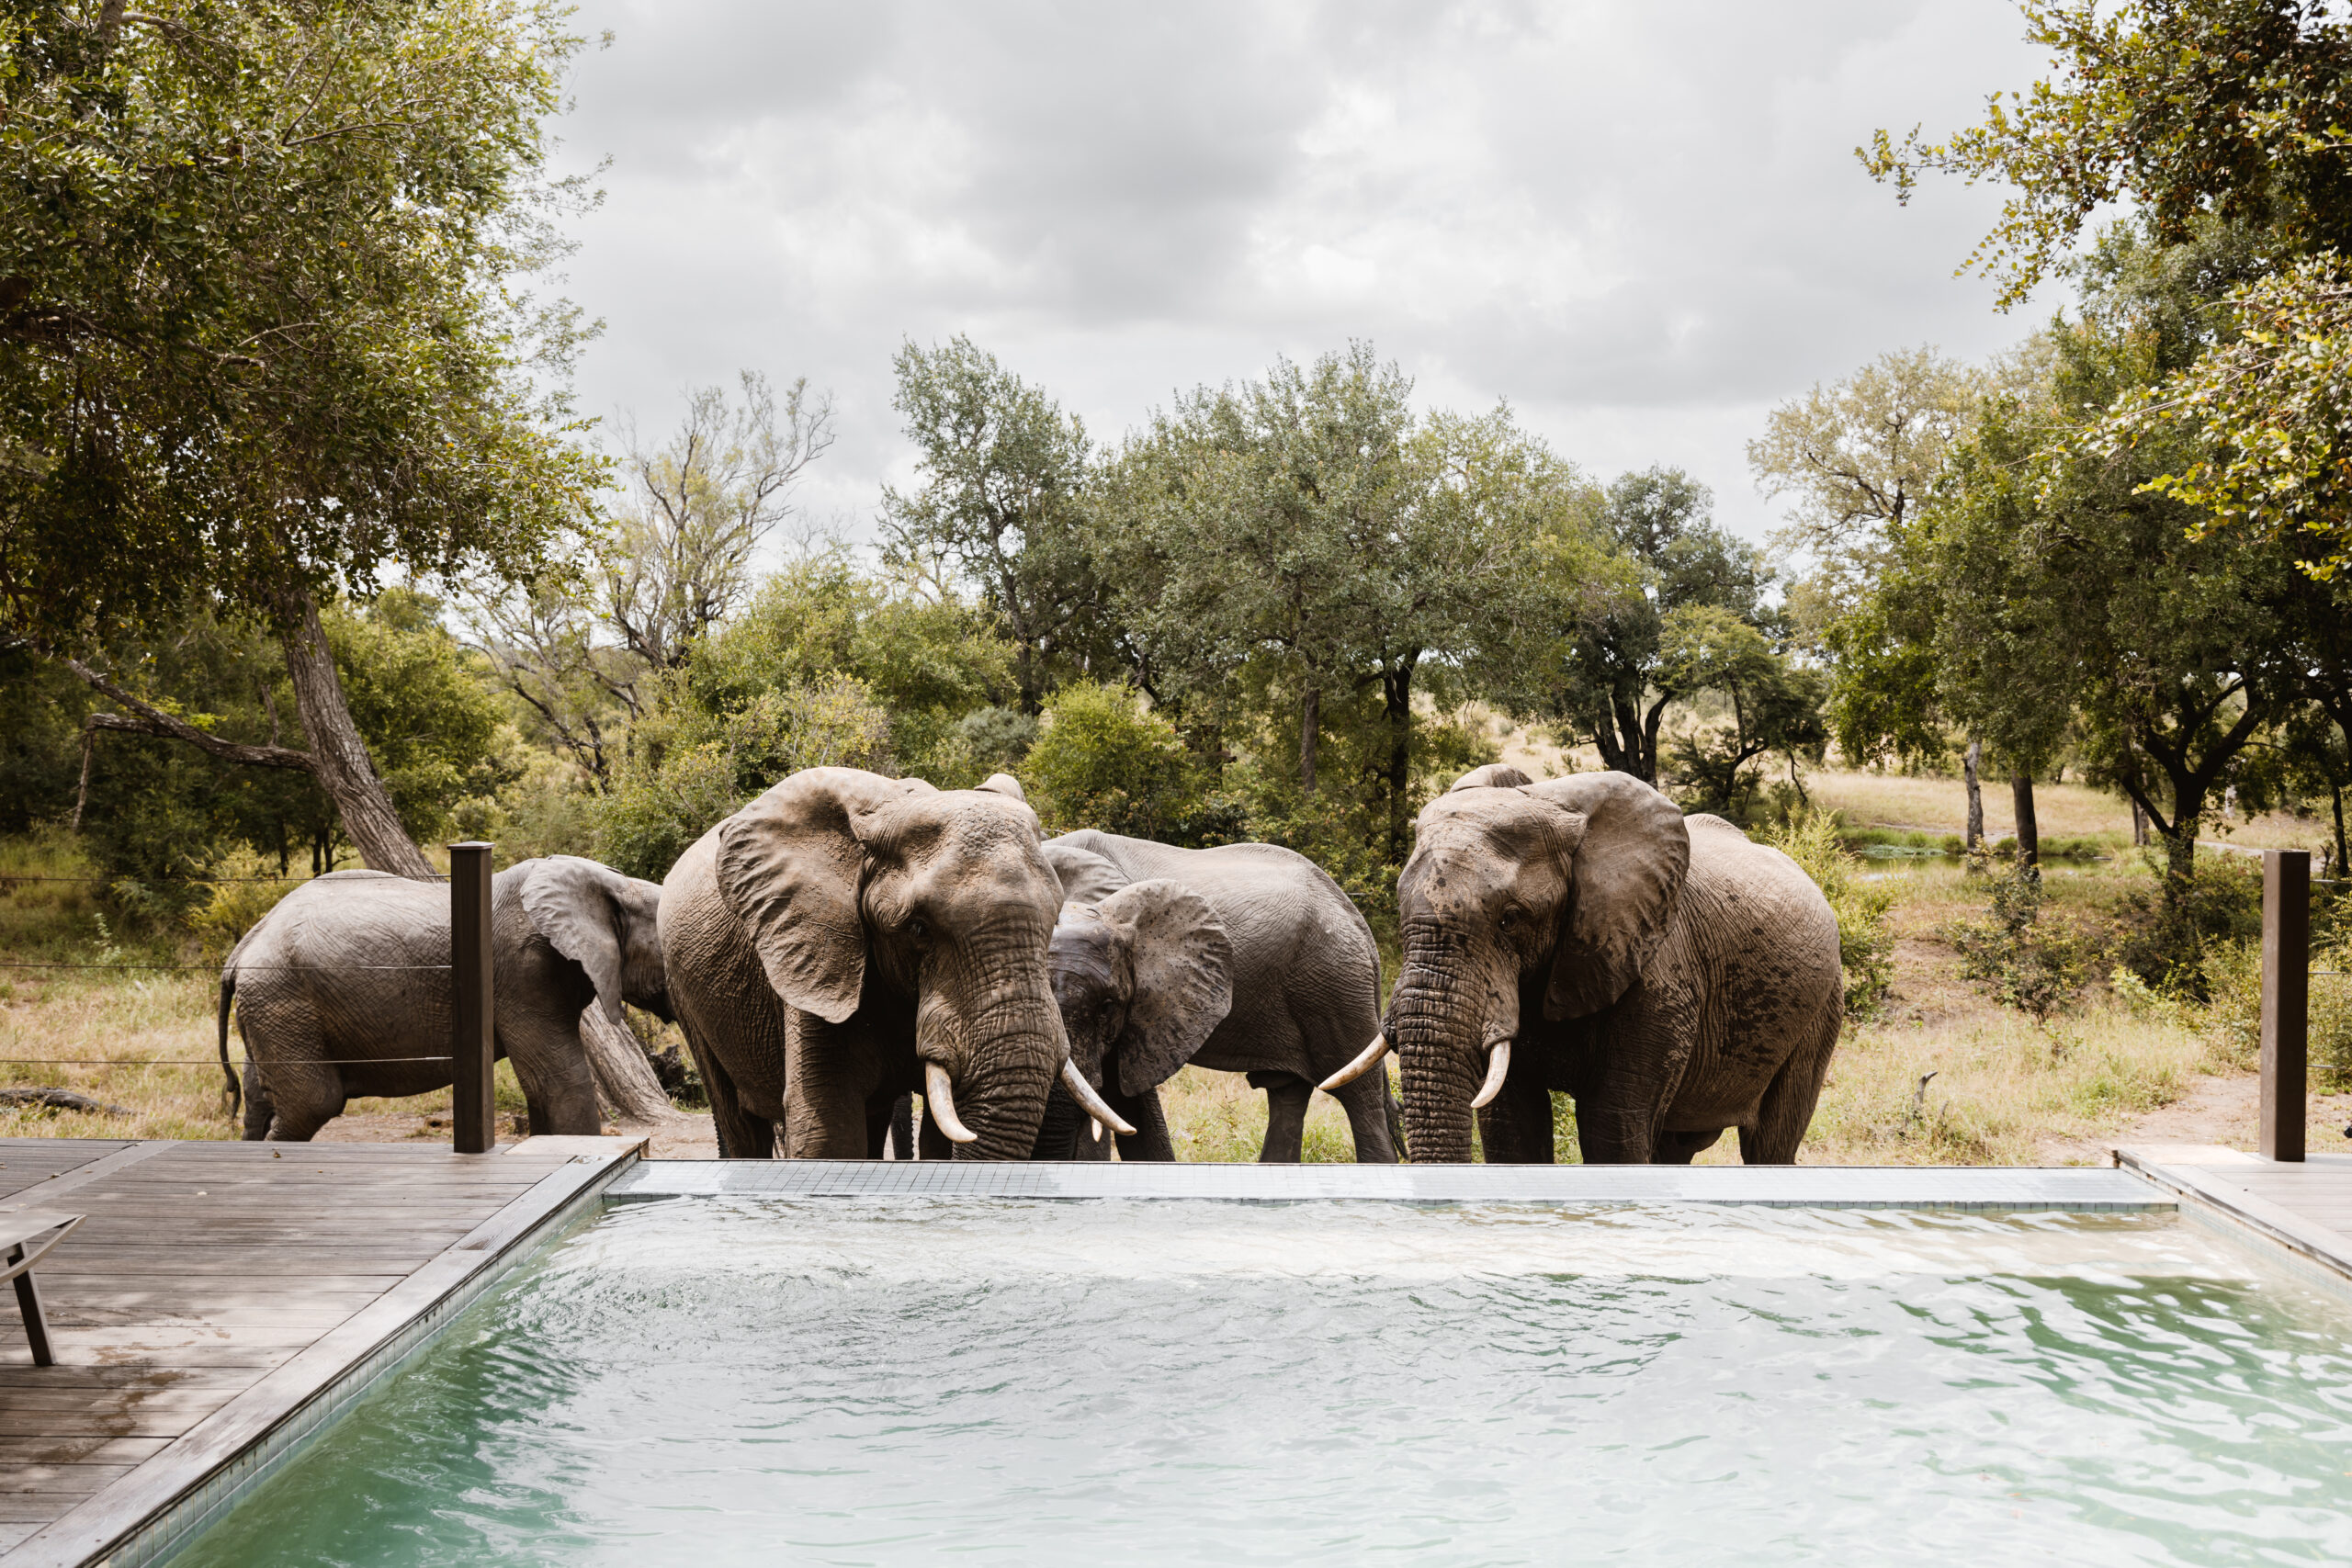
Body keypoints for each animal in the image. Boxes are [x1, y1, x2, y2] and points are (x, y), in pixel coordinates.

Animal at [220, 860, 673, 1142]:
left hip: (270, 1006)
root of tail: (242, 949)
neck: (616, 885)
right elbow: (559, 1081)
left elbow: (540, 1088)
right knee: (311, 1104)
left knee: (259, 1102)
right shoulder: (522, 971)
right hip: (283, 998)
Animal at [653, 766, 1128, 1161]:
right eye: (918, 929)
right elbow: (828, 1126)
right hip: (688, 994)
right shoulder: (814, 951)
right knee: (738, 1124)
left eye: (1054, 921)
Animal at [1354, 766, 1844, 1161]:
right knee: (1677, 1146)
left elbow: (1610, 1128)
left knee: (1771, 1143)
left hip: (1821, 1010)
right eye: (1399, 909)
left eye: (1510, 919)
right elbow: (1512, 1129)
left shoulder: (1659, 976)